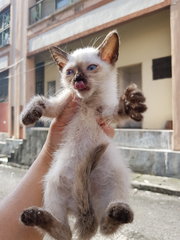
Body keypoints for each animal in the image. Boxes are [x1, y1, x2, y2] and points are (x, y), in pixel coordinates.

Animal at [20, 31, 146, 239]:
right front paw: (28, 116)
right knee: (65, 232)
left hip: (116, 178)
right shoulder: (62, 107)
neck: (87, 102)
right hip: (52, 184)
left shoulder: (105, 114)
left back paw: (119, 212)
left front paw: (129, 104)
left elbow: (117, 110)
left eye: (91, 68)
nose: (78, 79)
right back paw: (33, 216)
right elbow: (41, 101)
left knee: (105, 227)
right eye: (70, 72)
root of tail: (82, 211)